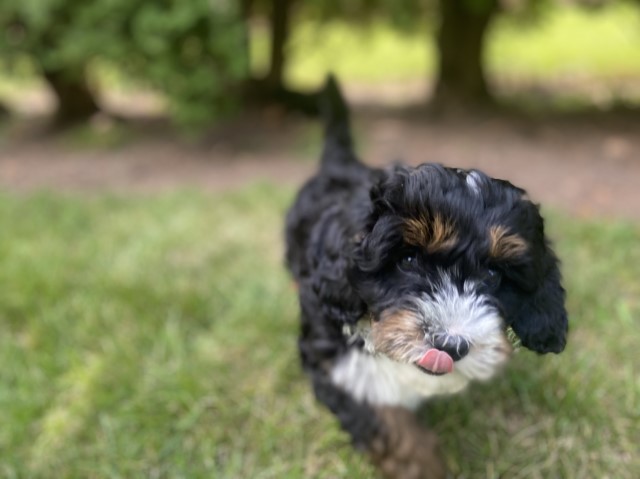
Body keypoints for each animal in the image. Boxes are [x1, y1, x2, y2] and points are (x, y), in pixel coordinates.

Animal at [284, 77, 564, 478]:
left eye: (493, 273)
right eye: (408, 259)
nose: (451, 345)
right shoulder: (332, 358)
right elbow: (386, 423)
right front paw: (420, 464)